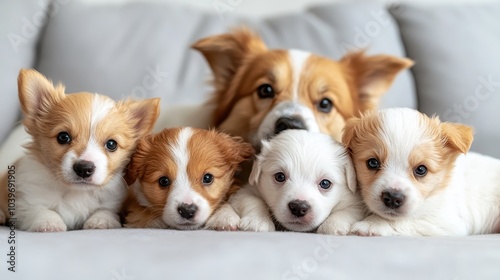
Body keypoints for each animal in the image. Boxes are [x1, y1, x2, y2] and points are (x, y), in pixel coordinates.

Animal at [207, 130, 364, 234]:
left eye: (325, 183)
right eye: (280, 177)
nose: (299, 207)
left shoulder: (356, 202)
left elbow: (348, 211)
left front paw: (332, 225)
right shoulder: (246, 191)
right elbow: (254, 201)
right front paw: (258, 221)